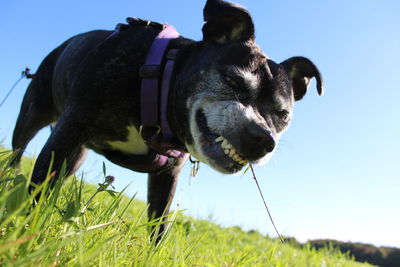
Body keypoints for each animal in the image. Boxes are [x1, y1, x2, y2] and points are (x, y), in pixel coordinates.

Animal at [11, 0, 322, 238]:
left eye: (283, 116)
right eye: (232, 81)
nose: (263, 137)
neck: (158, 82)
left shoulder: (167, 175)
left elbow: (159, 226)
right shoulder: (69, 130)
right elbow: (37, 188)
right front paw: (26, 232)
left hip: (76, 154)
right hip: (35, 114)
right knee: (18, 150)